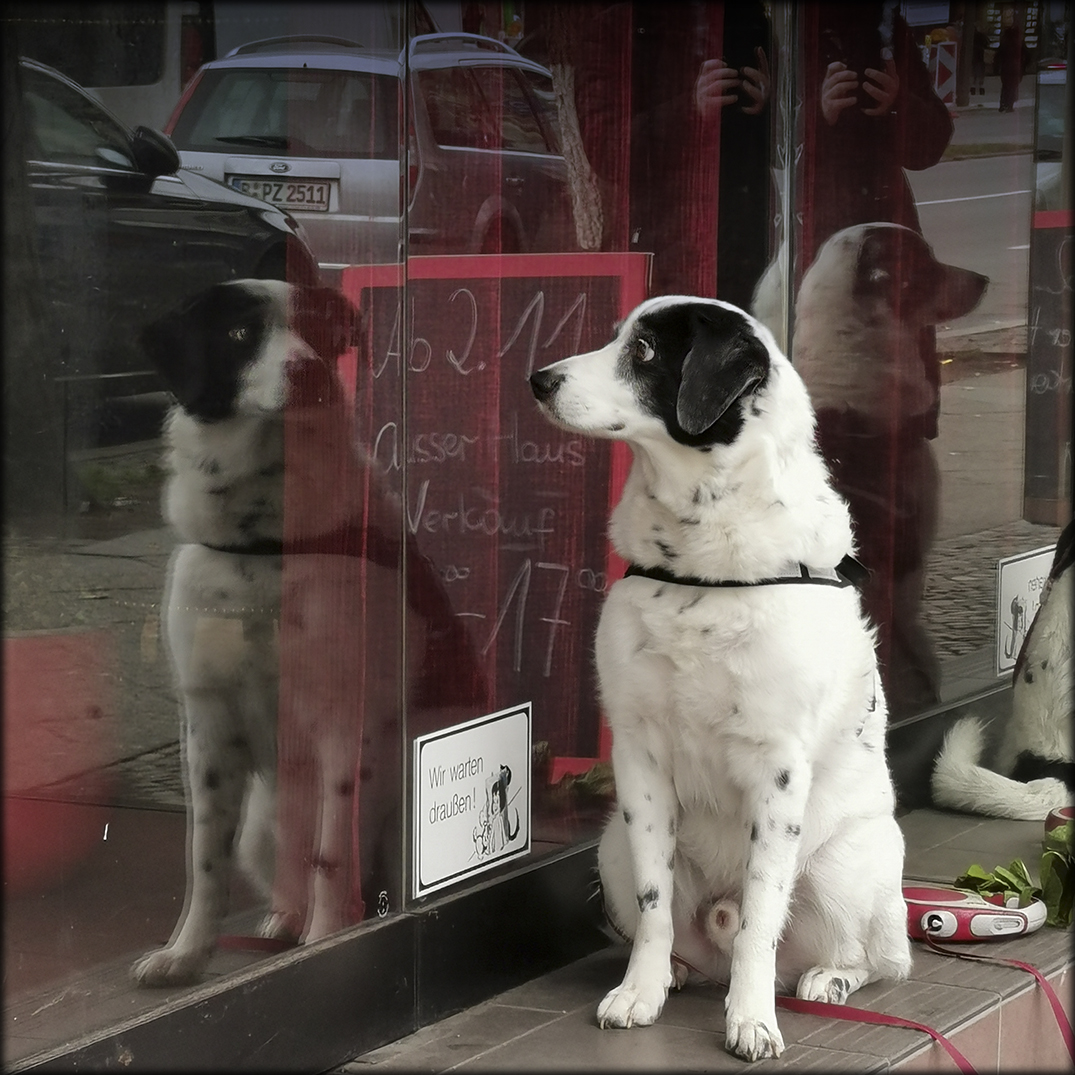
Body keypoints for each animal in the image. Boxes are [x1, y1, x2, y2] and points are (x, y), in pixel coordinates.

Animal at [133, 281, 404, 984]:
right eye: (238, 333)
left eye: (318, 329)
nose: (308, 371)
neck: (262, 543)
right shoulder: (208, 723)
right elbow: (204, 859)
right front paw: (187, 954)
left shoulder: (344, 718)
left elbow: (333, 851)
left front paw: (328, 942)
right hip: (262, 824)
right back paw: (282, 920)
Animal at [528, 294, 907, 1057]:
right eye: (616, 337)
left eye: (644, 351)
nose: (539, 380)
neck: (702, 565)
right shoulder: (639, 759)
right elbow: (655, 906)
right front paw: (640, 989)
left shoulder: (778, 770)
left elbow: (762, 913)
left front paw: (751, 1018)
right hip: (609, 846)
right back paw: (678, 971)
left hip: (849, 865)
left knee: (873, 957)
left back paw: (826, 980)